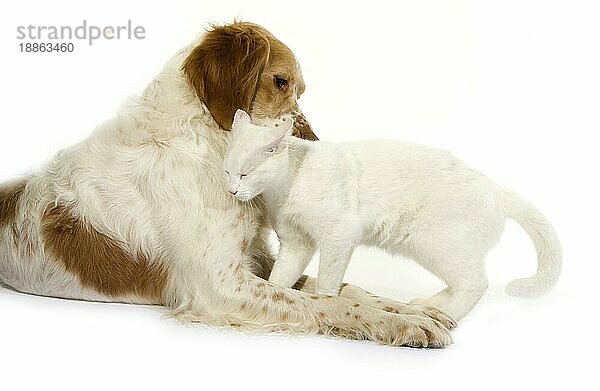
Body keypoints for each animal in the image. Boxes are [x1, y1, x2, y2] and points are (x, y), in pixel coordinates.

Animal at [0, 21, 454, 348]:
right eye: (281, 81)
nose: (314, 147)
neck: (204, 138)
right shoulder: (221, 285)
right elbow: (326, 302)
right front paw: (400, 324)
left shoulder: (255, 260)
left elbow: (346, 288)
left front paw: (411, 310)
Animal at [221, 108, 564, 320]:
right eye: (227, 172)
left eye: (246, 174)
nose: (232, 191)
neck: (287, 184)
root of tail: (496, 189)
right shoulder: (296, 244)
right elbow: (281, 278)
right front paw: (276, 296)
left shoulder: (339, 236)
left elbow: (327, 283)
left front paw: (327, 304)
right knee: (461, 283)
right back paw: (427, 306)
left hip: (440, 246)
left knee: (476, 284)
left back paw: (446, 317)